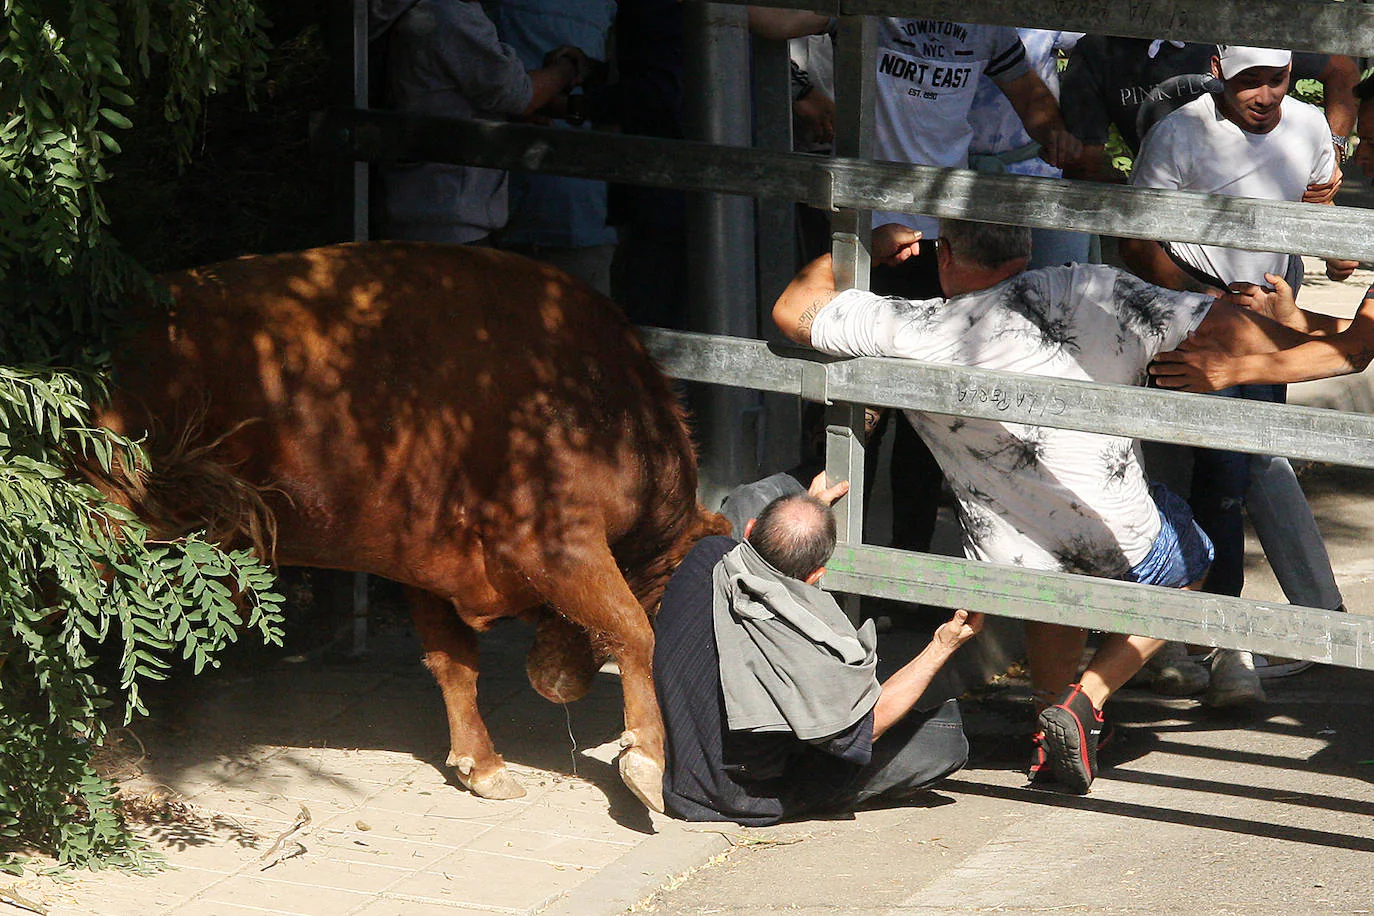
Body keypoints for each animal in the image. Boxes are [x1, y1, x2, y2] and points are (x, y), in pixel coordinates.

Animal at [87, 241, 730, 807]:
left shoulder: (432, 566)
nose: (554, 682)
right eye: (669, 599)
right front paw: (646, 764)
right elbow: (632, 631)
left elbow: (454, 662)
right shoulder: (555, 543)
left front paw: (481, 766)